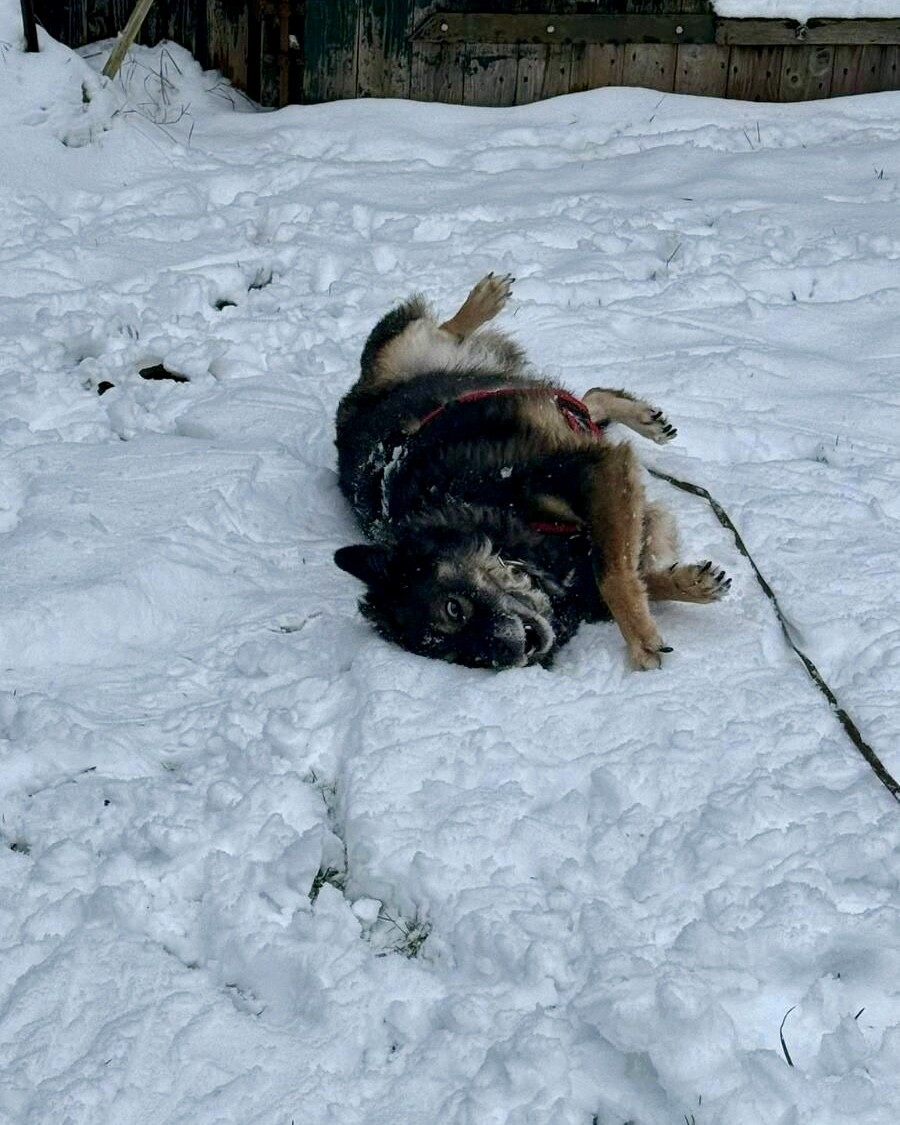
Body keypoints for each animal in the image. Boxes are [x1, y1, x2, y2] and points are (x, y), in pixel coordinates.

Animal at [334, 273, 729, 670]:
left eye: (454, 609)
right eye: (466, 658)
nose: (518, 651)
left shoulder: (590, 472)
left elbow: (611, 574)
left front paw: (640, 640)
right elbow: (628, 571)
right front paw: (687, 583)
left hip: (400, 348)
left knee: (441, 330)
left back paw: (484, 301)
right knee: (586, 402)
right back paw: (640, 417)